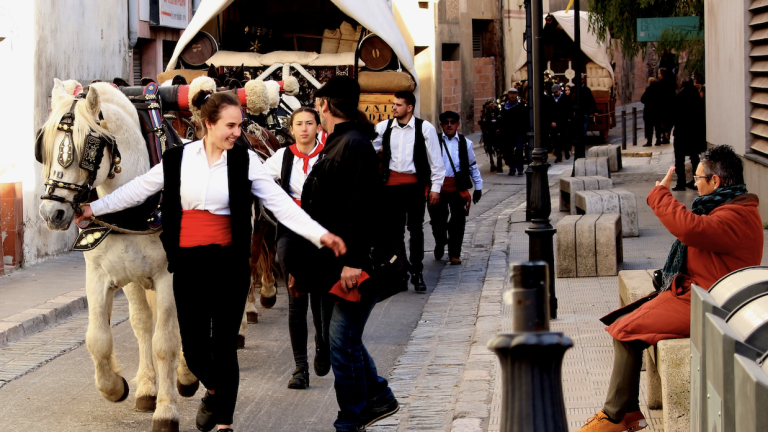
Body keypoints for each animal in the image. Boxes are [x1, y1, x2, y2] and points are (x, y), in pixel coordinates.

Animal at [37, 79, 198, 432]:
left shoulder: (169, 276)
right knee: (143, 323)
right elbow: (98, 339)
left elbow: (165, 343)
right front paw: (115, 387)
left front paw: (166, 411)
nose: (52, 213)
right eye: (44, 145)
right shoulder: (101, 275)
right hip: (137, 279)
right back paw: (149, 387)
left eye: (89, 148)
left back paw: (187, 375)